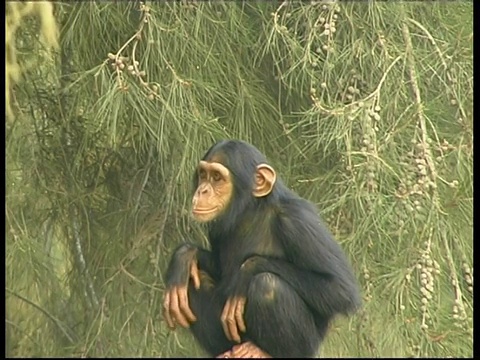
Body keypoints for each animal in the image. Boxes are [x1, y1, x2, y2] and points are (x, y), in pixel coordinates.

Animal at [162, 139, 360, 358]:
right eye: (203, 175)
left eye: (217, 177)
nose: (202, 190)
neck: (251, 210)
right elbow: (219, 269)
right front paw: (184, 256)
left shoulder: (297, 220)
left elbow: (340, 290)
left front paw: (247, 270)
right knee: (192, 280)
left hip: (307, 348)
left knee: (268, 286)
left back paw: (260, 351)